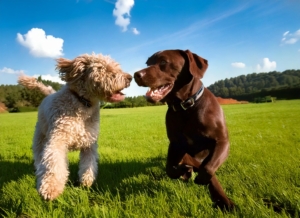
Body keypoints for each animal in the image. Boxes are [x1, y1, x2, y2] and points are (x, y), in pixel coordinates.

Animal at [17, 53, 131, 200]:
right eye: (104, 69)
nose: (130, 77)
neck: (83, 103)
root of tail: (49, 93)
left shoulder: (89, 143)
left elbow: (89, 163)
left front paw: (86, 181)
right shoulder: (57, 140)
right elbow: (53, 163)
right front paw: (50, 188)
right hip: (40, 135)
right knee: (39, 154)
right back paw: (38, 167)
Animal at [134, 49, 234, 209]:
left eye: (163, 62)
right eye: (148, 63)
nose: (136, 74)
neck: (185, 108)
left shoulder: (222, 141)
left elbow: (208, 168)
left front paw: (221, 198)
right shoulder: (175, 144)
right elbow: (170, 168)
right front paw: (183, 171)